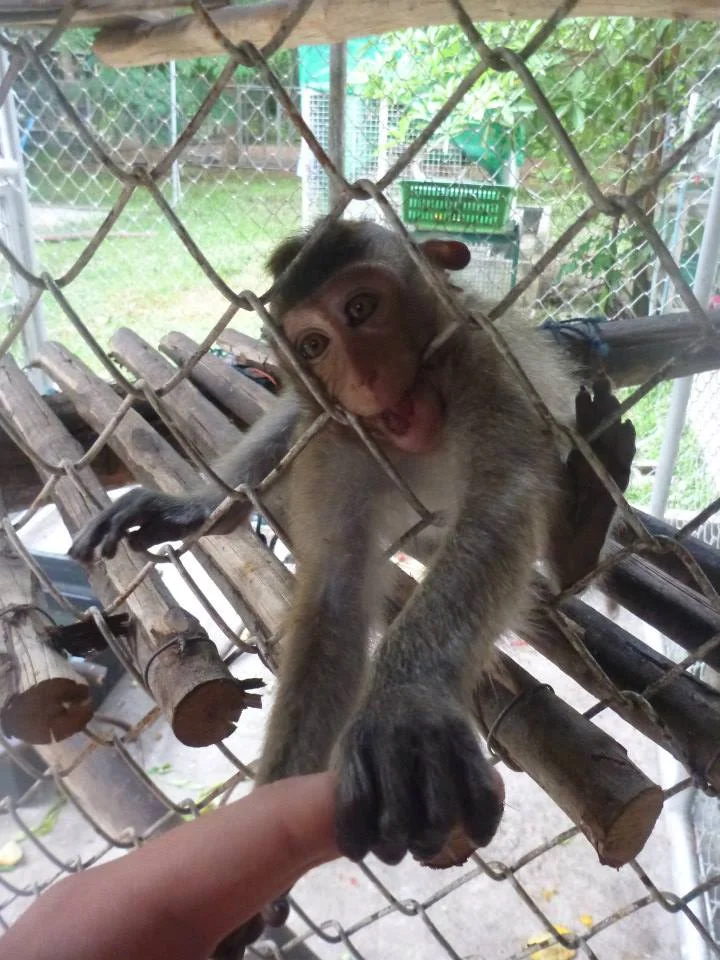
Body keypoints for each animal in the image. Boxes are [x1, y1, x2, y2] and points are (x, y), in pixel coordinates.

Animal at [70, 217, 635, 953]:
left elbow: (500, 506)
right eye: (314, 345)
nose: (363, 376)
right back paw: (207, 503)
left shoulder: (482, 369)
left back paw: (585, 524)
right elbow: (335, 591)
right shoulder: (342, 436)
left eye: (362, 309)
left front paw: (406, 702)